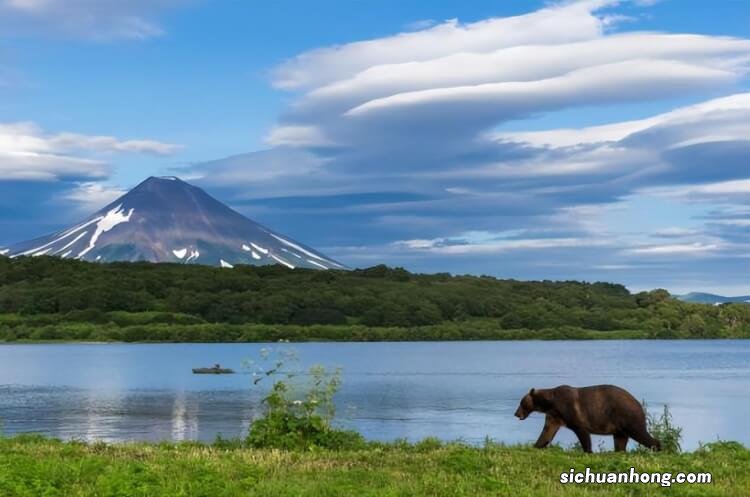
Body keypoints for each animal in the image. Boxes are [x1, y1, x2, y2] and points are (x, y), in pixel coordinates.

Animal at [516, 384, 664, 454]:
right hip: (619, 426)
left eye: (521, 403)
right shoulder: (554, 416)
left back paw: (657, 447)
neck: (550, 404)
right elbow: (547, 432)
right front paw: (536, 446)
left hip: (627, 415)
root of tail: (639, 403)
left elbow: (582, 431)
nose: (516, 414)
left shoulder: (570, 410)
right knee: (620, 440)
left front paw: (588, 451)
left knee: (639, 433)